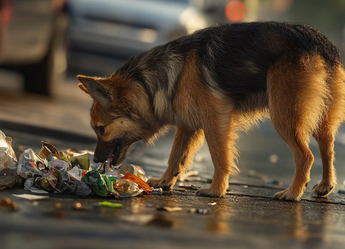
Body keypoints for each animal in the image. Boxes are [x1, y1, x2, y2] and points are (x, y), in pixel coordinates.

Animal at [78, 20, 344, 200]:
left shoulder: (215, 121)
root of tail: (321, 44)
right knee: (327, 147)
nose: (96, 160)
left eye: (100, 129)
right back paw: (325, 185)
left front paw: (216, 190)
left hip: (284, 117)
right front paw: (165, 181)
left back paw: (293, 193)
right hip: (320, 121)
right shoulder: (188, 126)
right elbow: (176, 155)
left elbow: (219, 157)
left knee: (306, 156)